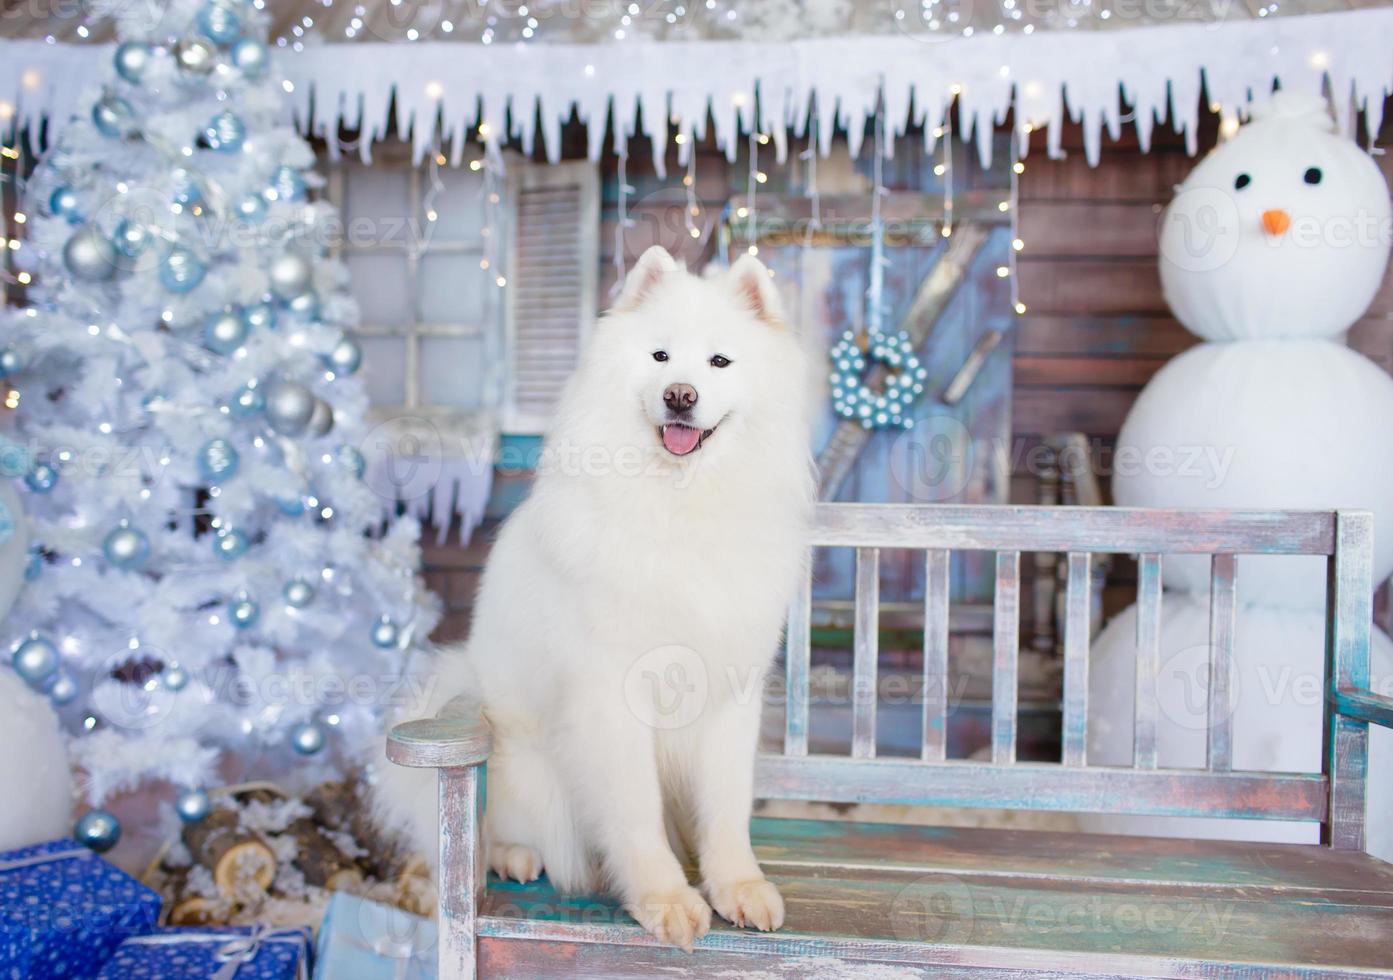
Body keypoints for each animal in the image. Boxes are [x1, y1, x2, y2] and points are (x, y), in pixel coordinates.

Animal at [376, 243, 819, 946]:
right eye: (660, 356)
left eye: (719, 362)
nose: (680, 396)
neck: (680, 504)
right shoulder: (613, 696)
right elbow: (635, 812)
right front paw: (666, 898)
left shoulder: (728, 693)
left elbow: (725, 807)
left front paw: (737, 886)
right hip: (522, 765)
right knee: (494, 827)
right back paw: (514, 856)